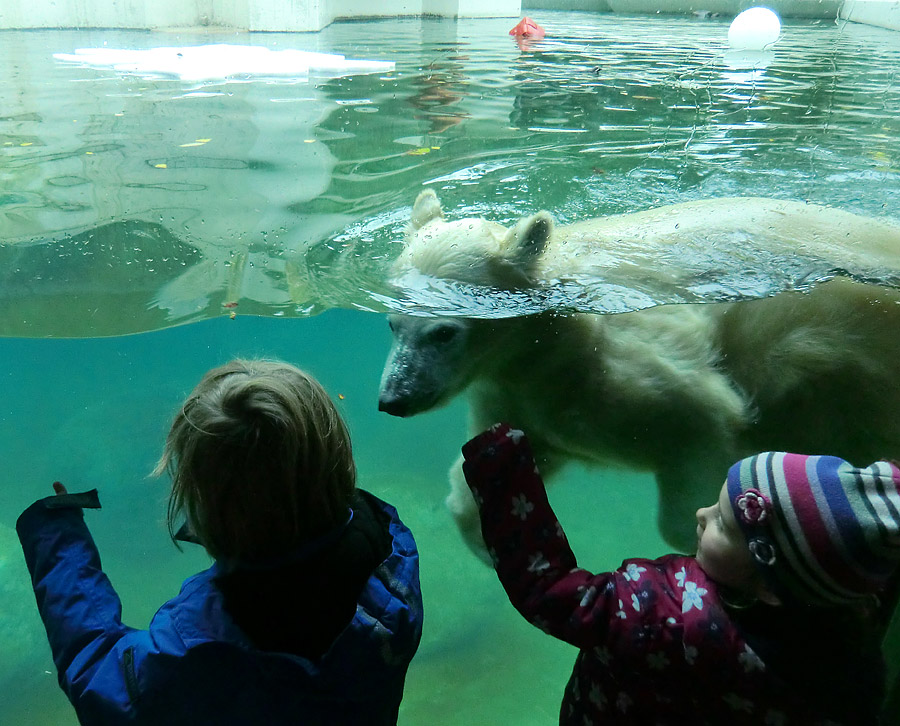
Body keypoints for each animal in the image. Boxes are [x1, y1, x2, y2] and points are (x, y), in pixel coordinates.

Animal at [378, 191, 900, 556]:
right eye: (392, 323)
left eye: (444, 332)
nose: (393, 399)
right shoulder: (523, 393)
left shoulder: (629, 367)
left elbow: (702, 418)